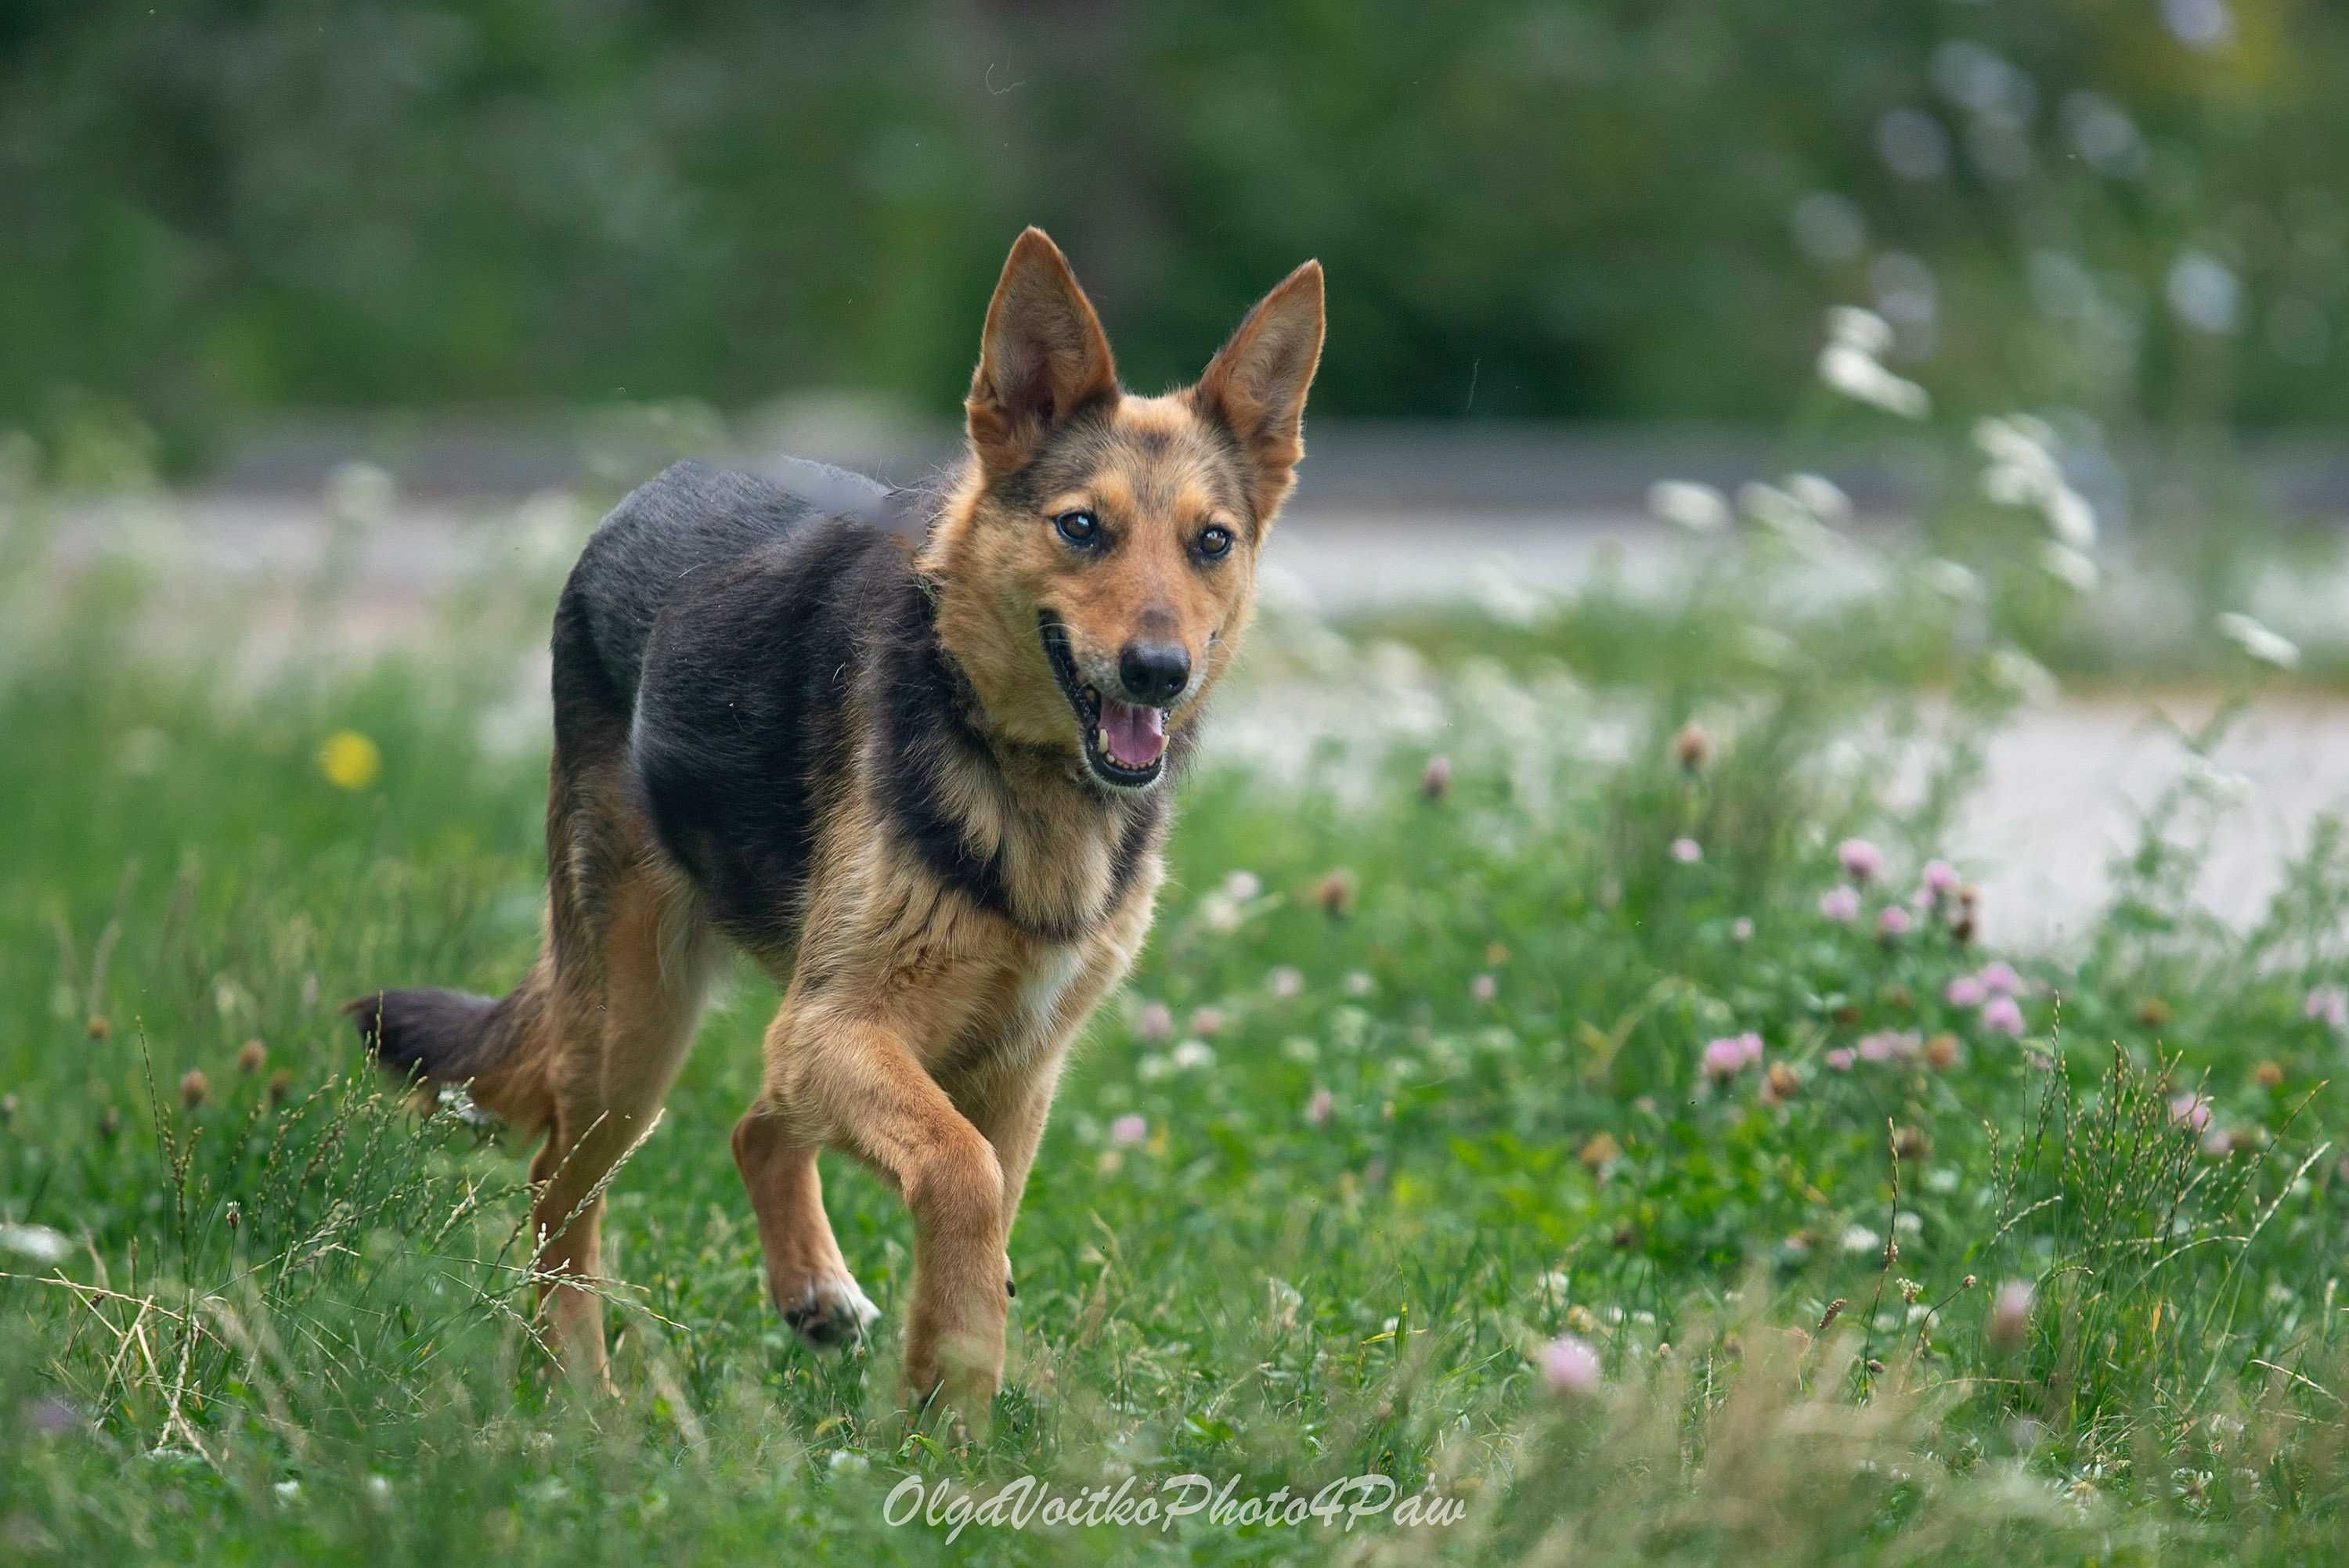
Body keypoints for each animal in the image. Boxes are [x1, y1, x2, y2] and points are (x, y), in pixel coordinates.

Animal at [357, 229, 1334, 1418]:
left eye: (1212, 542)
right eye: (1082, 527)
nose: (1159, 670)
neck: (1016, 763)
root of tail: (650, 493)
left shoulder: (1012, 1068)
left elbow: (977, 1200)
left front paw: (944, 1399)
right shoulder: (843, 1025)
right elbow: (962, 1179)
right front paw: (948, 1399)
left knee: (753, 1123)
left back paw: (810, 1289)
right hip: (637, 1028)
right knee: (561, 1189)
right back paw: (583, 1390)